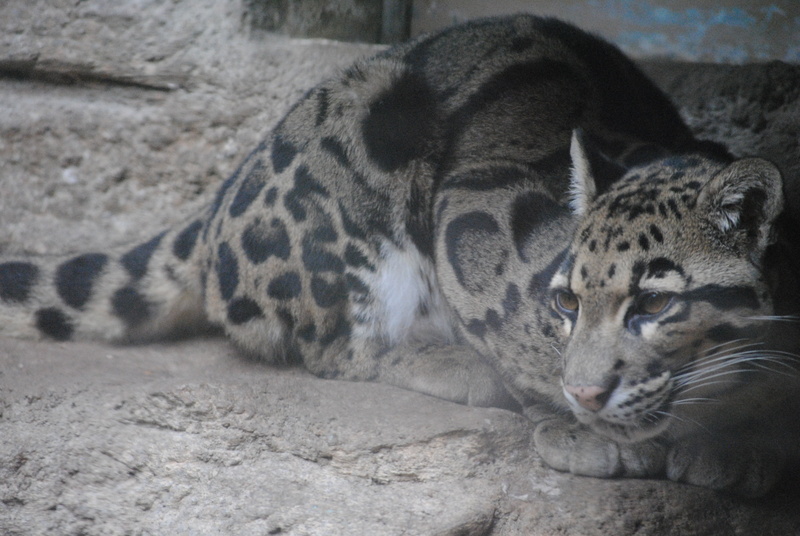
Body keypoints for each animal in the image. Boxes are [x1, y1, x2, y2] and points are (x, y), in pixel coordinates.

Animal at [1, 15, 798, 497]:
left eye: (656, 303)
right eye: (567, 301)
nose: (588, 395)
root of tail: (216, 205)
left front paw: (743, 449)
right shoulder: (478, 210)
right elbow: (511, 329)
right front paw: (574, 424)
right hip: (360, 147)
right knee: (333, 348)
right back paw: (445, 362)